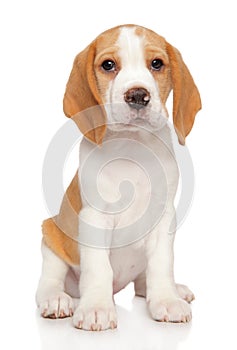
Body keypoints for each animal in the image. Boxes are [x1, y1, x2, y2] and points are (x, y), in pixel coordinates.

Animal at [36, 23, 201, 330]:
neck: (132, 146)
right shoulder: (94, 217)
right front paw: (96, 308)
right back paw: (57, 300)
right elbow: (99, 268)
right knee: (49, 280)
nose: (138, 95)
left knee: (143, 283)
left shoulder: (164, 217)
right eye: (108, 65)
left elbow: (162, 263)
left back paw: (175, 290)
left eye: (156, 64)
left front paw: (166, 300)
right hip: (50, 233)